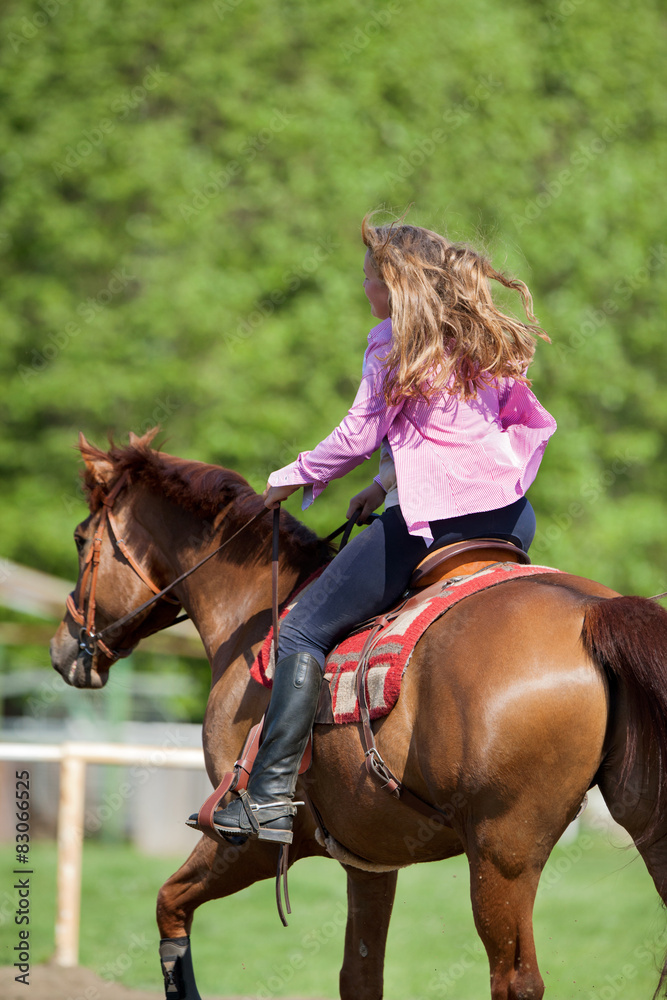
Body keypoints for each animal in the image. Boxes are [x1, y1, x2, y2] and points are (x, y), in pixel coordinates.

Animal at [49, 429, 667, 1000]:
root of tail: (593, 611)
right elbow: (361, 976)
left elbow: (169, 904)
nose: (61, 650)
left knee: (516, 981)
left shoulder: (252, 841)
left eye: (80, 539)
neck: (258, 614)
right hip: (641, 827)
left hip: (502, 856)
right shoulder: (371, 862)